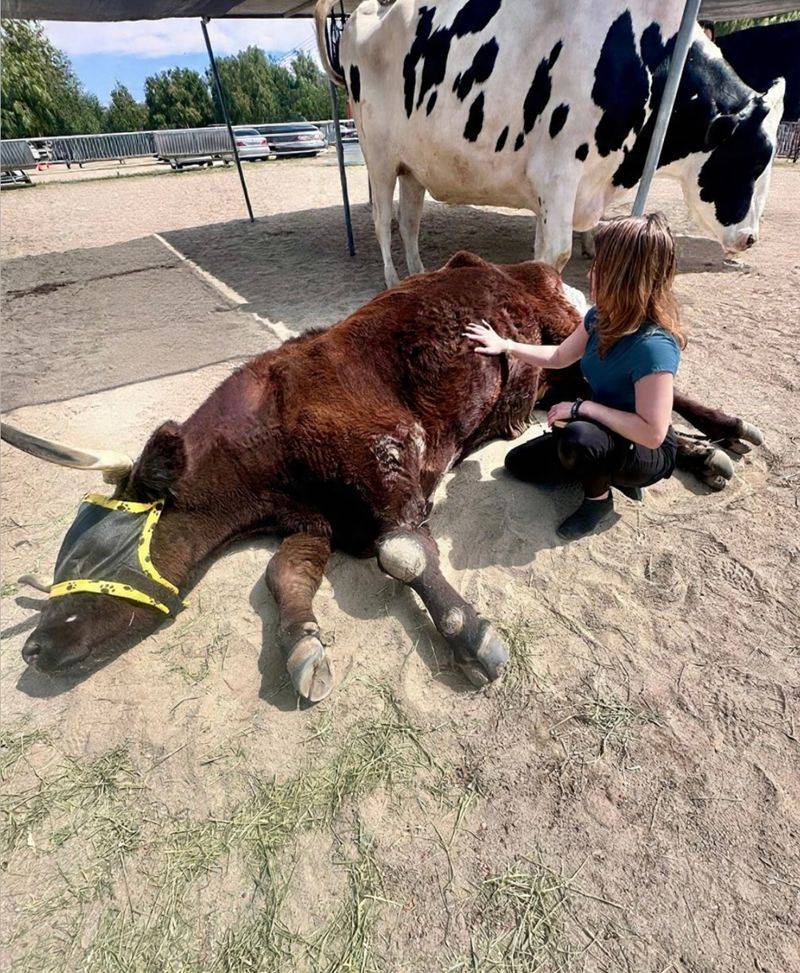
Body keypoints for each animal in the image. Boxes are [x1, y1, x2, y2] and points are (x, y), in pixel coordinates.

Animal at [3, 253, 762, 702]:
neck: (271, 434)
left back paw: (723, 432)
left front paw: (470, 634)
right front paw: (303, 644)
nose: (35, 647)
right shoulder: (312, 521)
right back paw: (702, 452)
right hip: (550, 378)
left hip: (569, 343)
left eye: (93, 554)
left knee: (651, 396)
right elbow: (282, 577)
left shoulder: (389, 459)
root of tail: (521, 263)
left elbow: (401, 553)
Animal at [315, 0, 785, 286]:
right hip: (378, 157)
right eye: (752, 160)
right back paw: (393, 280)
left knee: (409, 221)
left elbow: (542, 251)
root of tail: (364, 10)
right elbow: (555, 254)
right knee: (382, 219)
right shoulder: (558, 174)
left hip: (414, 165)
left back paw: (419, 276)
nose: (751, 239)